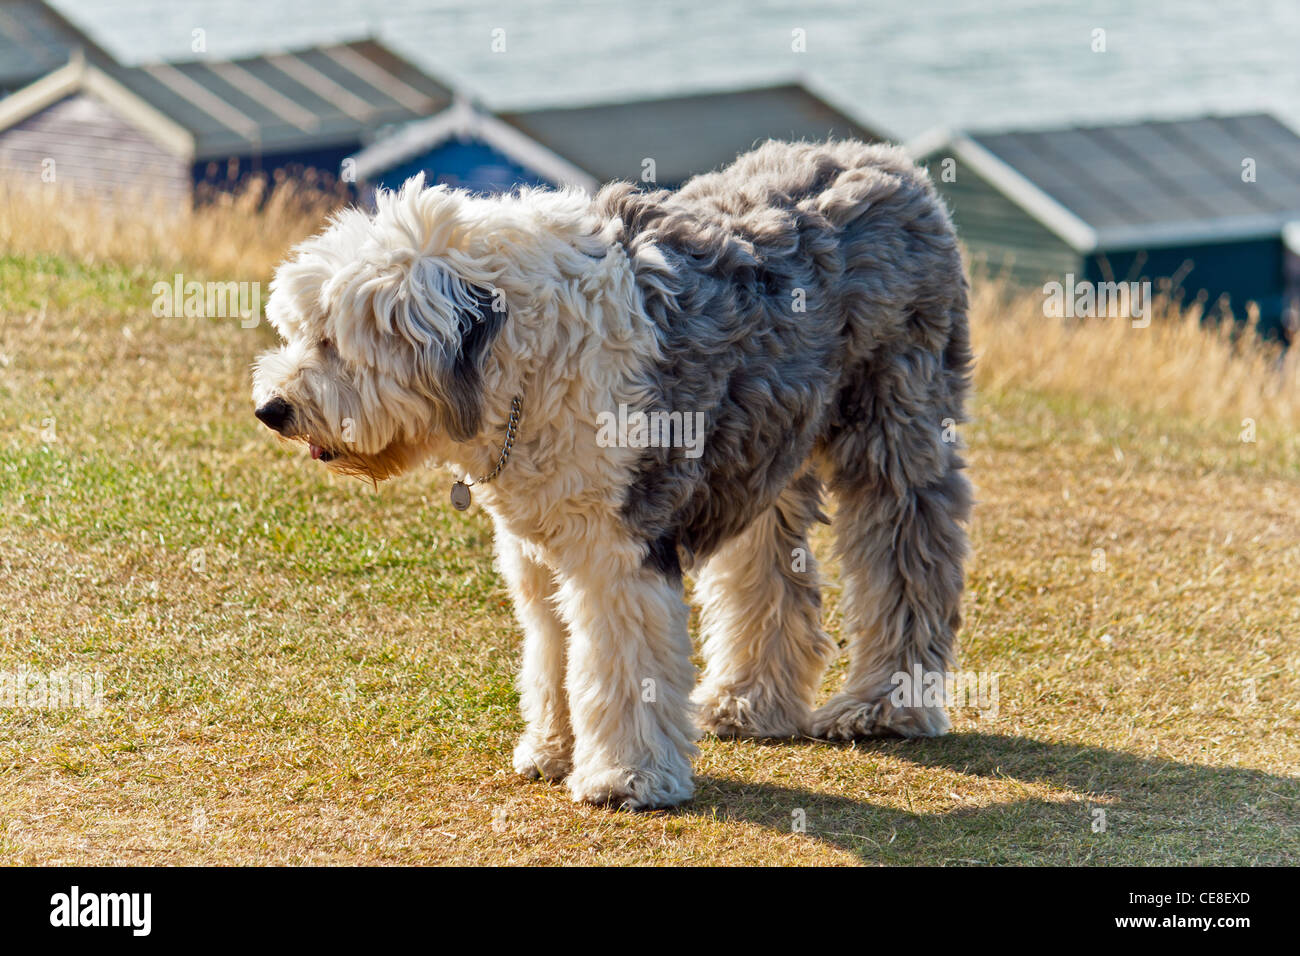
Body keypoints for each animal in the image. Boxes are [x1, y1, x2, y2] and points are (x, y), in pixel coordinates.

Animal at [253, 140, 972, 806]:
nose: (271, 409)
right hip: (762, 447)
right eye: (299, 331)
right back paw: (747, 702)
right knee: (768, 574)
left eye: (331, 342)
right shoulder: (536, 547)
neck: (527, 358)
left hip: (895, 431)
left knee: (906, 557)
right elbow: (553, 650)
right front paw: (551, 749)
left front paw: (627, 776)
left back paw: (884, 706)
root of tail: (889, 164)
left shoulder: (617, 546)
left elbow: (619, 662)